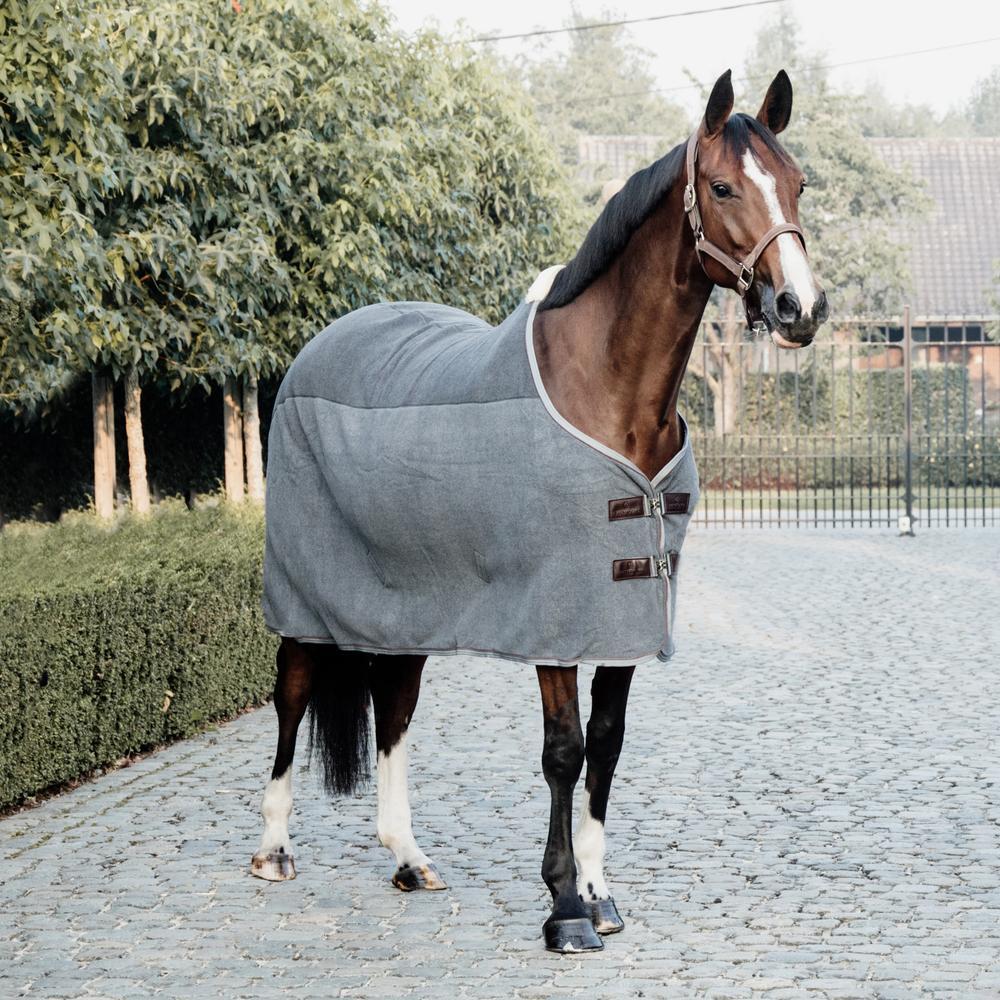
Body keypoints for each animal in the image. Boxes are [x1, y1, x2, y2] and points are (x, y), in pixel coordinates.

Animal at [250, 69, 828, 953]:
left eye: (797, 183)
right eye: (725, 186)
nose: (801, 306)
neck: (609, 390)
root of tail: (320, 346)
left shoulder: (623, 609)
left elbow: (607, 748)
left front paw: (599, 891)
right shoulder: (554, 614)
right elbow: (563, 751)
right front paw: (563, 909)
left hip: (407, 601)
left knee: (395, 706)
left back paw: (408, 857)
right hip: (307, 592)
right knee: (294, 690)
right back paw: (274, 849)